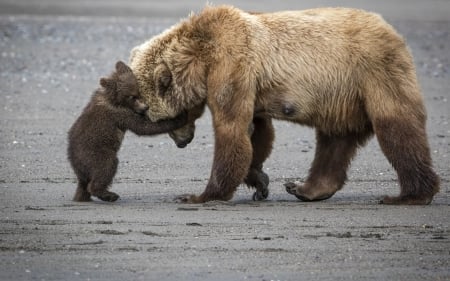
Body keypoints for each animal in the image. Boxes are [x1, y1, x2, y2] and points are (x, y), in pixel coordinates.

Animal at [129, 6, 440, 203]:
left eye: (153, 115)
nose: (182, 142)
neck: (201, 56)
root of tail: (393, 32)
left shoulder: (232, 65)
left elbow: (232, 129)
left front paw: (199, 195)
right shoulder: (250, 83)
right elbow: (257, 132)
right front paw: (259, 181)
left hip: (373, 73)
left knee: (397, 128)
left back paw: (411, 195)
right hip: (342, 98)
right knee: (334, 141)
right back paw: (306, 188)